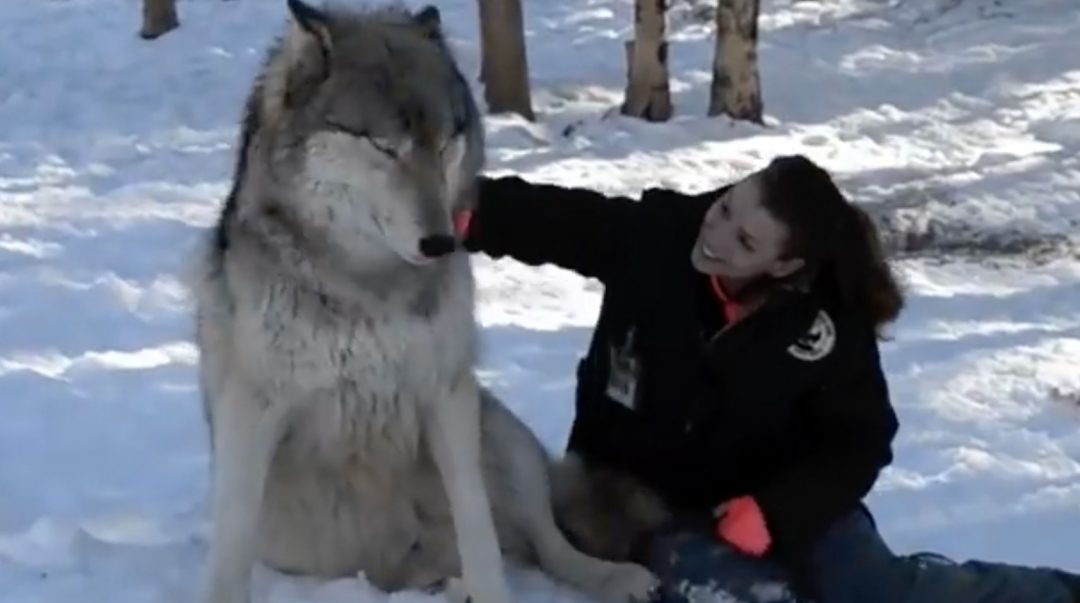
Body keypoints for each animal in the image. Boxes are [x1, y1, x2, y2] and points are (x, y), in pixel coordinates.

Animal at [190, 2, 661, 603]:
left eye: (442, 146)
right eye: (384, 147)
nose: (440, 242)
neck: (367, 284)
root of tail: (393, 572)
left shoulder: (446, 395)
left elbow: (479, 531)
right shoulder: (252, 409)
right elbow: (228, 555)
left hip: (501, 434)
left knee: (543, 542)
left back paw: (611, 577)